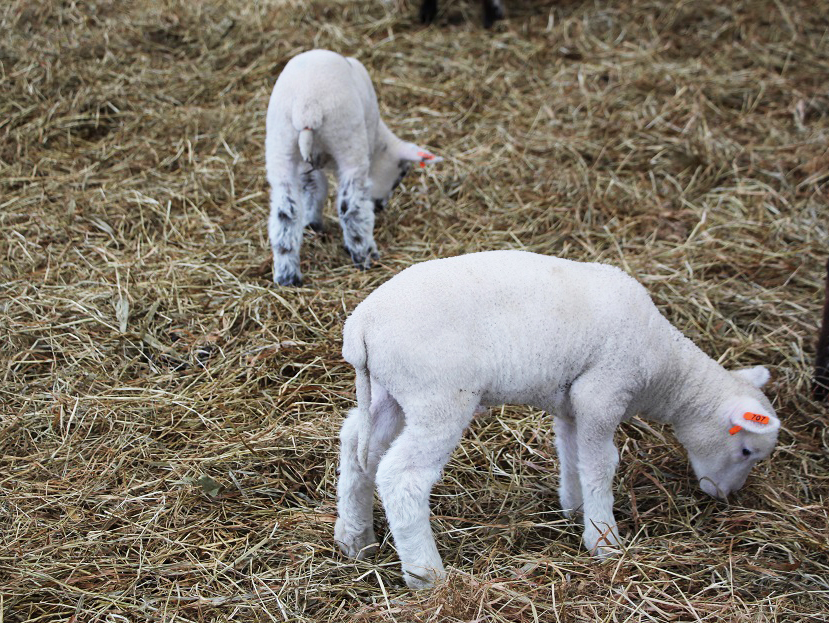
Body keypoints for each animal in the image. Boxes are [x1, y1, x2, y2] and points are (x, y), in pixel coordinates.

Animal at [268, 50, 444, 286]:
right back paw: (365, 255)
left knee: (285, 212)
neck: (379, 141)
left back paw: (287, 275)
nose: (380, 206)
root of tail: (307, 107)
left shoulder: (306, 166)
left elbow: (315, 189)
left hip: (280, 148)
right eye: (401, 174)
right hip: (348, 143)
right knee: (351, 206)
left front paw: (313, 223)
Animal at [334, 250, 780, 588]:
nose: (725, 496)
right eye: (746, 450)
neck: (666, 372)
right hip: (438, 397)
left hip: (390, 392)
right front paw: (605, 542)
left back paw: (356, 541)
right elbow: (602, 464)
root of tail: (360, 327)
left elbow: (573, 455)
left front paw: (576, 509)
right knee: (402, 477)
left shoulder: (572, 404)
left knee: (357, 447)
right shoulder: (603, 392)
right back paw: (427, 577)